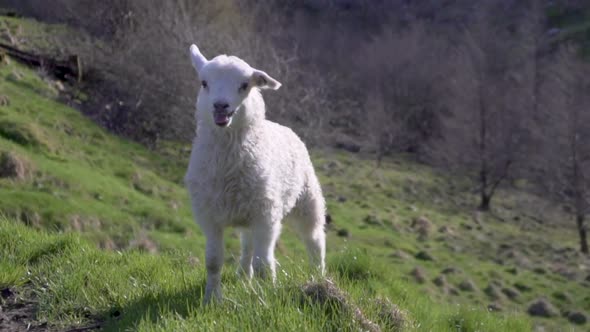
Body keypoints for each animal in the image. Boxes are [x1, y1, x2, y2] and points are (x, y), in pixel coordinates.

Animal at [185, 42, 328, 302]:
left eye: (244, 85)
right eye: (204, 83)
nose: (220, 106)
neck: (228, 164)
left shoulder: (266, 216)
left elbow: (264, 264)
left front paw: (266, 298)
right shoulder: (210, 216)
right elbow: (213, 261)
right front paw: (211, 298)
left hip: (306, 199)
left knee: (314, 239)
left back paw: (319, 278)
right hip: (248, 209)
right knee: (247, 244)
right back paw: (243, 274)